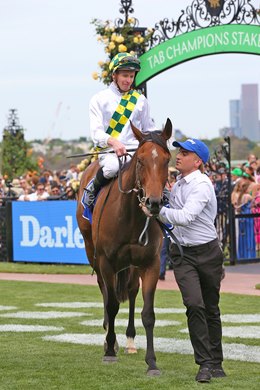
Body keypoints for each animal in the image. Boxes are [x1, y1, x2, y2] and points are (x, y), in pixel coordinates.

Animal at [76, 119, 172, 374]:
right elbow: (111, 305)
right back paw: (110, 339)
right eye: (140, 160)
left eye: (167, 159)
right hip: (93, 254)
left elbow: (148, 313)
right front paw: (110, 350)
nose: (154, 202)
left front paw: (152, 362)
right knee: (105, 292)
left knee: (130, 291)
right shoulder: (107, 262)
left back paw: (129, 340)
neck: (130, 216)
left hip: (131, 266)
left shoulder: (150, 263)